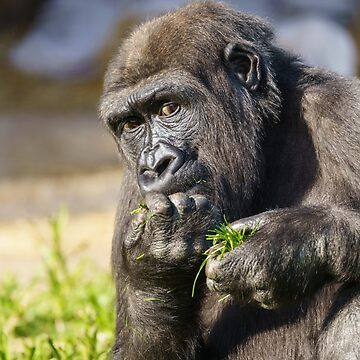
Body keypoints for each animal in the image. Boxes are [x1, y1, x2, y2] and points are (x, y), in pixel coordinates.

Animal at [100, 1, 360, 358]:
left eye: (169, 108)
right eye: (131, 125)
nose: (154, 165)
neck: (266, 140)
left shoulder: (346, 112)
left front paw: (287, 243)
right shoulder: (131, 196)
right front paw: (153, 267)